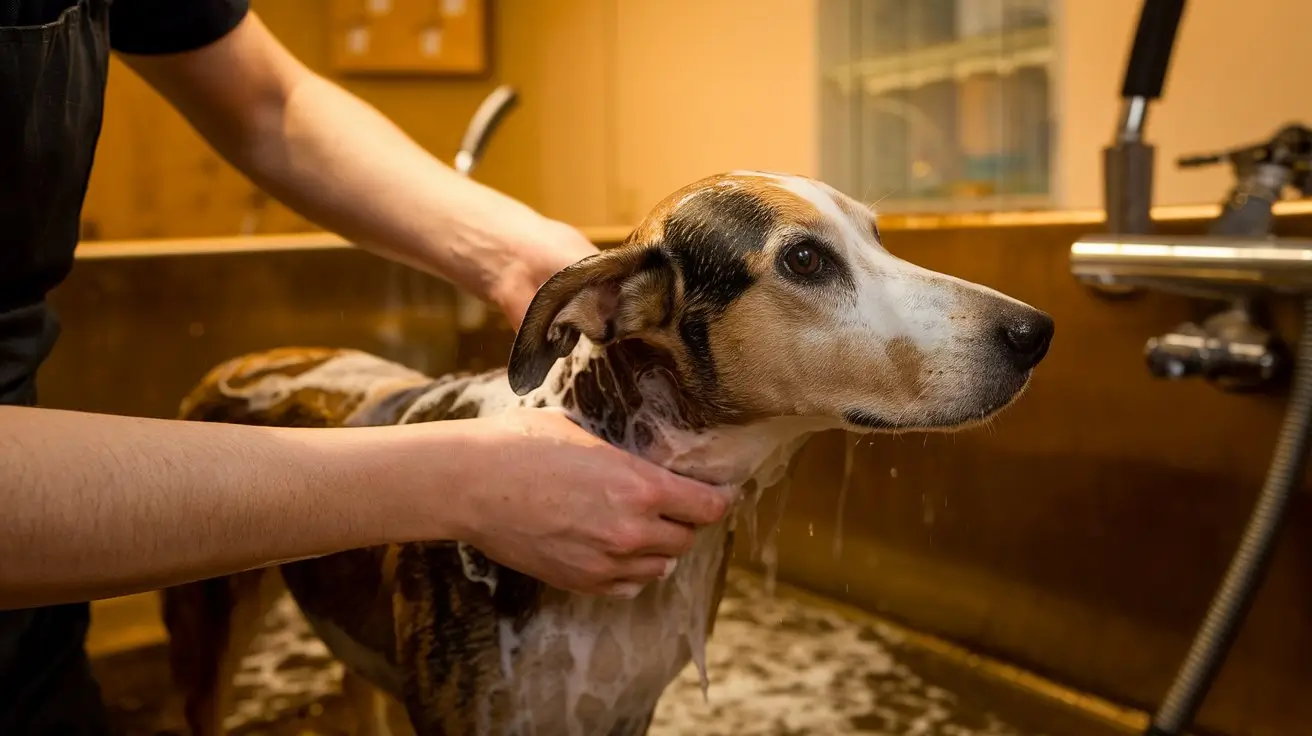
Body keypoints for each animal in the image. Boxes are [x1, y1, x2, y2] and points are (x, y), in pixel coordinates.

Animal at [158, 170, 1054, 734]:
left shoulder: (628, 709)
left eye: (877, 236)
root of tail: (245, 358)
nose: (1034, 331)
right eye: (804, 259)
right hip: (204, 637)